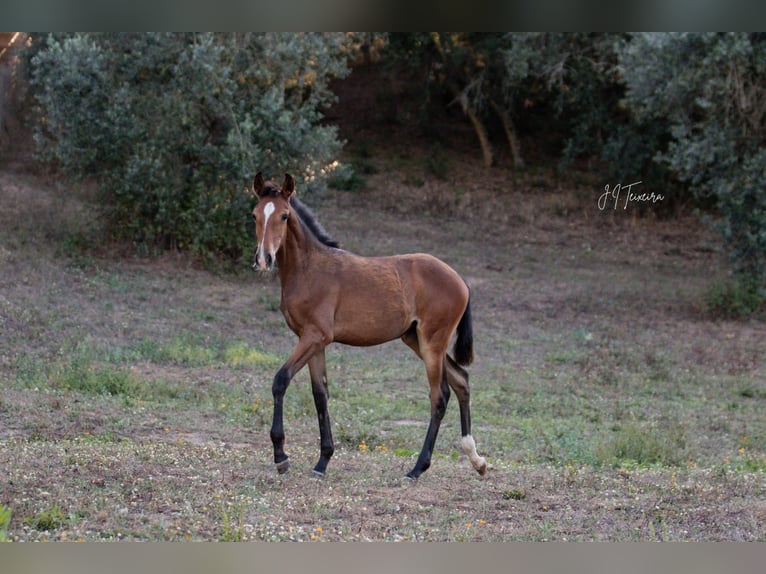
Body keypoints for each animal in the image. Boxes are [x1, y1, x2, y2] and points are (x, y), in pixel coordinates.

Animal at [252, 172, 488, 482]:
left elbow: (280, 380)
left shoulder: (314, 337)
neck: (309, 268)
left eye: (284, 215)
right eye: (254, 215)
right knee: (461, 380)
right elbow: (320, 395)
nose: (263, 259)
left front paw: (281, 456)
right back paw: (476, 460)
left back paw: (417, 468)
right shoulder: (313, 340)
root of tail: (460, 280)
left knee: (440, 396)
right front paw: (322, 461)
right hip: (414, 339)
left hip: (432, 342)